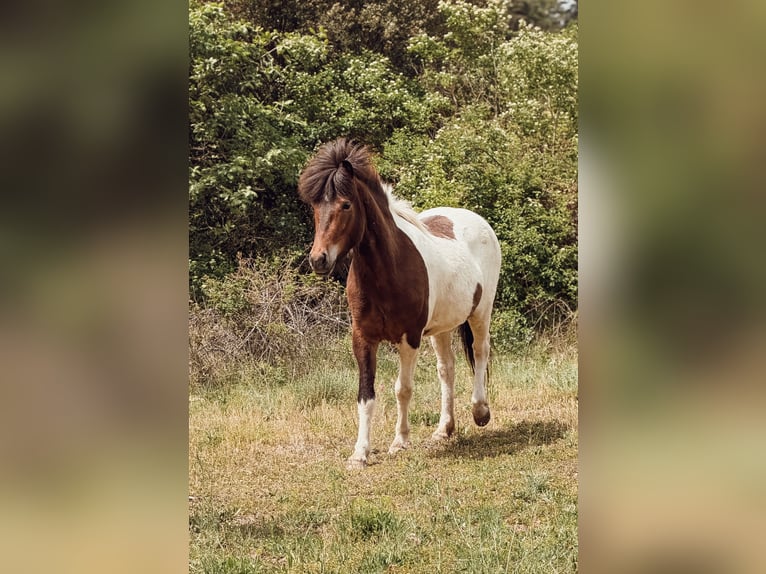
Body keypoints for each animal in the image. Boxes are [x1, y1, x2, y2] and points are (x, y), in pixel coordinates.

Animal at [298, 138, 501, 468]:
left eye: (345, 204)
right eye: (315, 206)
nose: (318, 259)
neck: (387, 271)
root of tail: (477, 220)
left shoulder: (409, 338)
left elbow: (402, 389)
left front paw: (400, 441)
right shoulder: (363, 338)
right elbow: (366, 395)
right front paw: (360, 453)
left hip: (481, 312)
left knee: (481, 352)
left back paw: (480, 412)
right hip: (442, 327)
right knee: (447, 369)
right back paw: (444, 430)